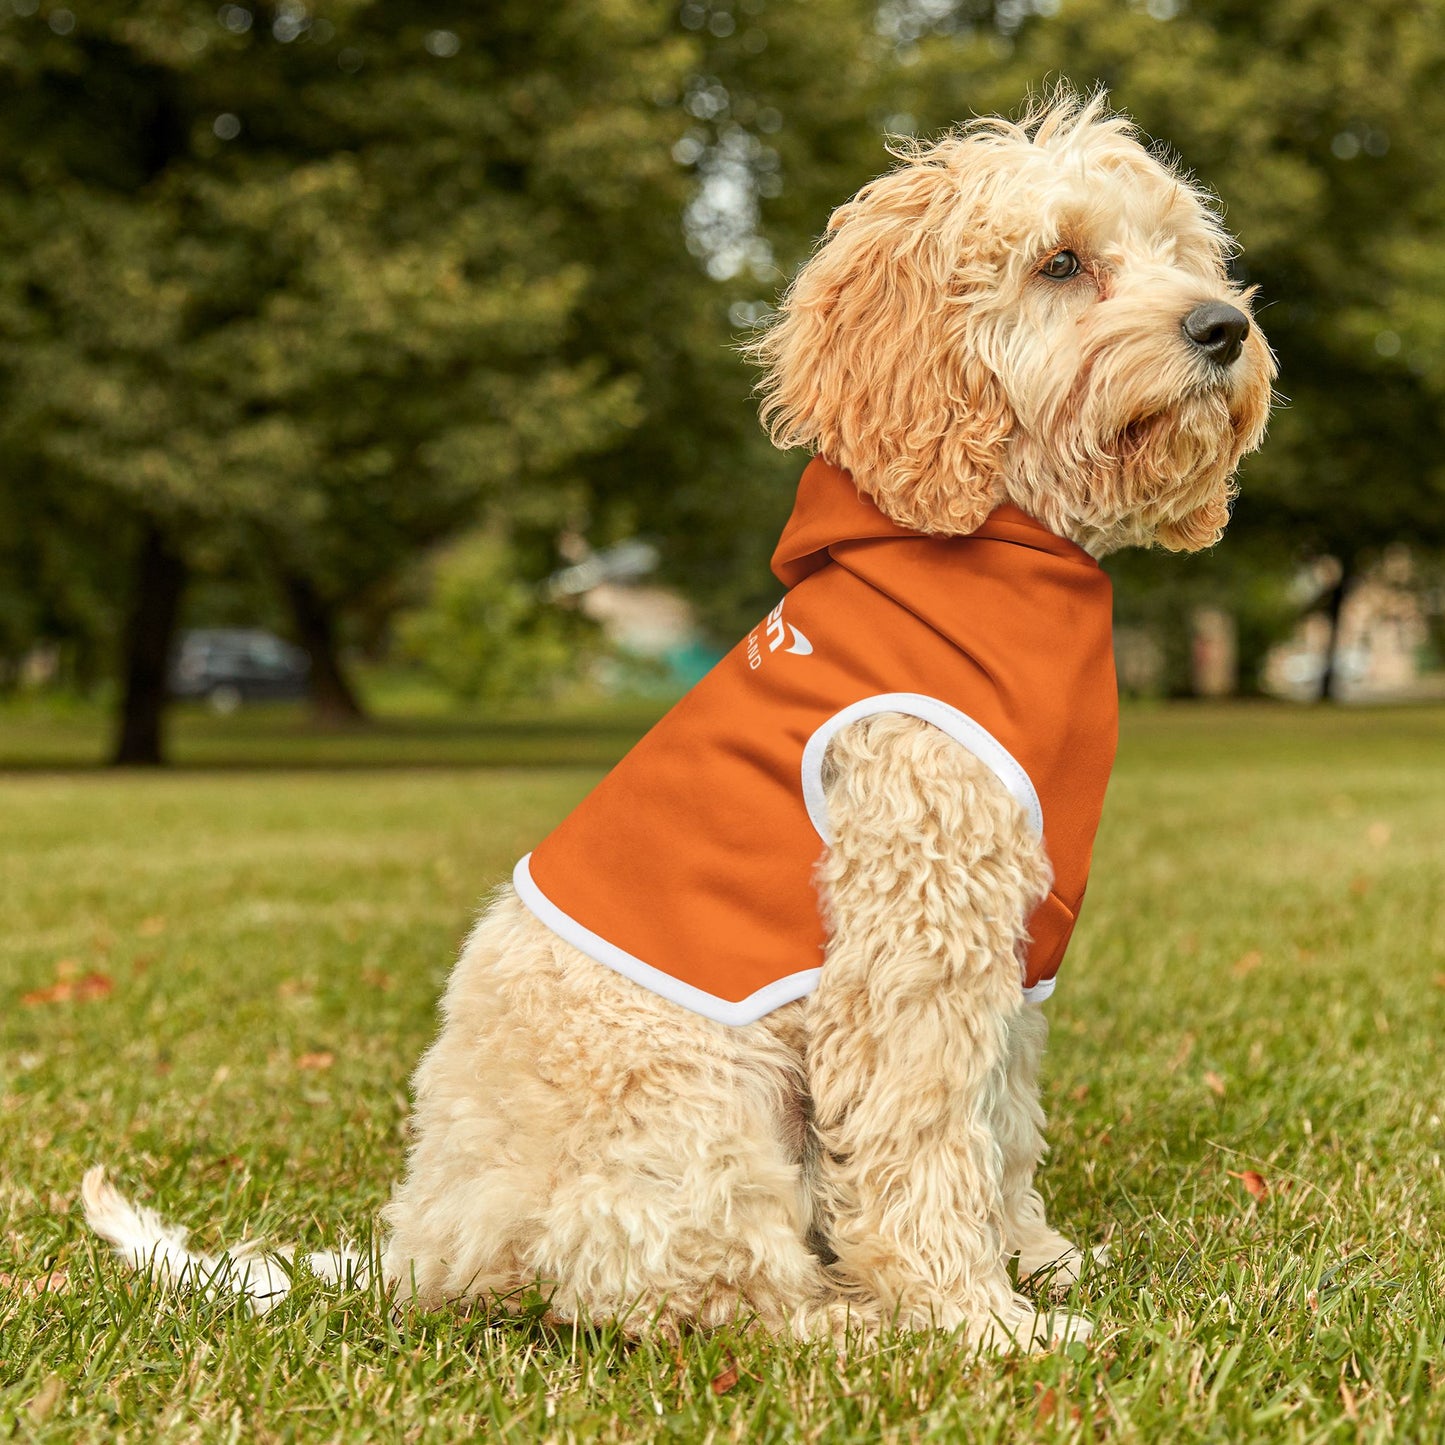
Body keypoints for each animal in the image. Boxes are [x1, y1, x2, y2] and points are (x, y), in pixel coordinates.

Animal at [84, 93, 1271, 1352]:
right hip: (703, 1101)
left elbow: (998, 1123)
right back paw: (852, 1322)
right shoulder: (913, 937)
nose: (1222, 327)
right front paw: (976, 1318)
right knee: (698, 1290)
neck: (991, 548)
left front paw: (1034, 1260)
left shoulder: (1010, 945)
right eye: (1060, 262)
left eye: (1180, 252)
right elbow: (923, 1140)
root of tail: (423, 1245)